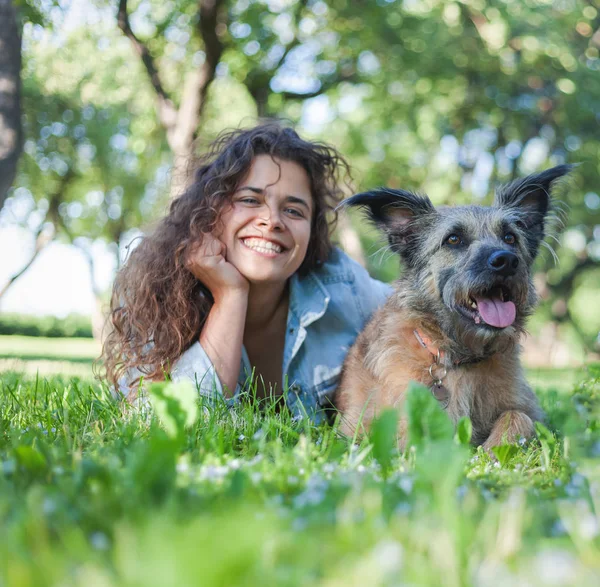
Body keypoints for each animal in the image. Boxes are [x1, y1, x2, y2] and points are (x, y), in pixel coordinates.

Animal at [332, 165, 572, 450]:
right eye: (454, 239)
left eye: (510, 238)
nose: (506, 261)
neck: (457, 359)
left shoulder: (531, 412)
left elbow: (517, 416)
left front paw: (490, 452)